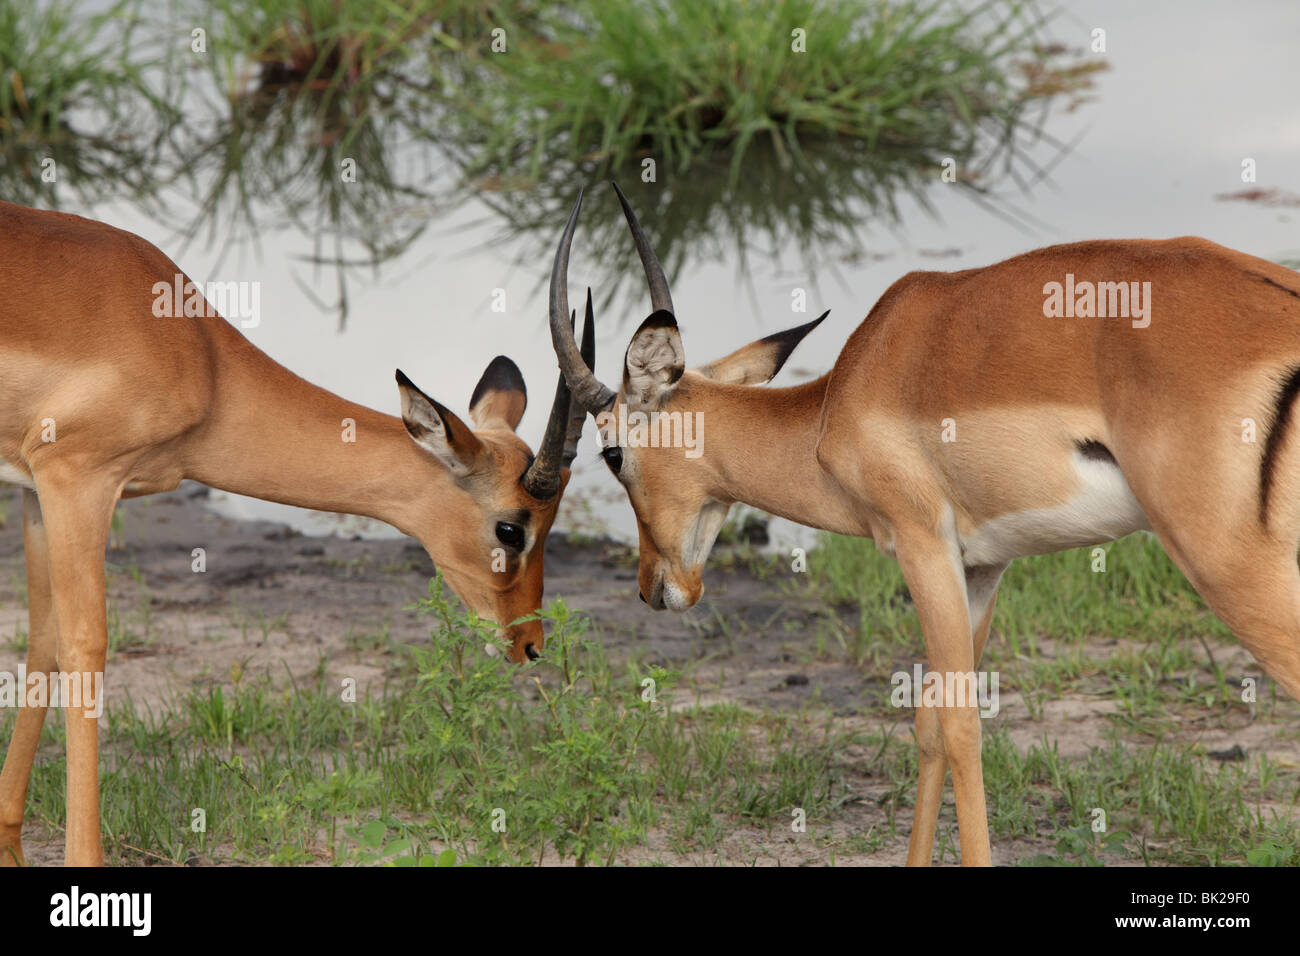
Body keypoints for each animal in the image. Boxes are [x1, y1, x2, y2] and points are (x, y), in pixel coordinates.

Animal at [0, 200, 593, 866]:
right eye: (512, 529)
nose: (530, 644)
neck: (201, 363)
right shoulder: (78, 481)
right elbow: (86, 650)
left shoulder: (35, 490)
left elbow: (43, 642)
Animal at [550, 182, 1300, 866]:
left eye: (611, 453)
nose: (654, 586)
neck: (835, 406)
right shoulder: (983, 566)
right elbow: (931, 721)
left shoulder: (923, 546)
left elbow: (962, 726)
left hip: (1229, 566)